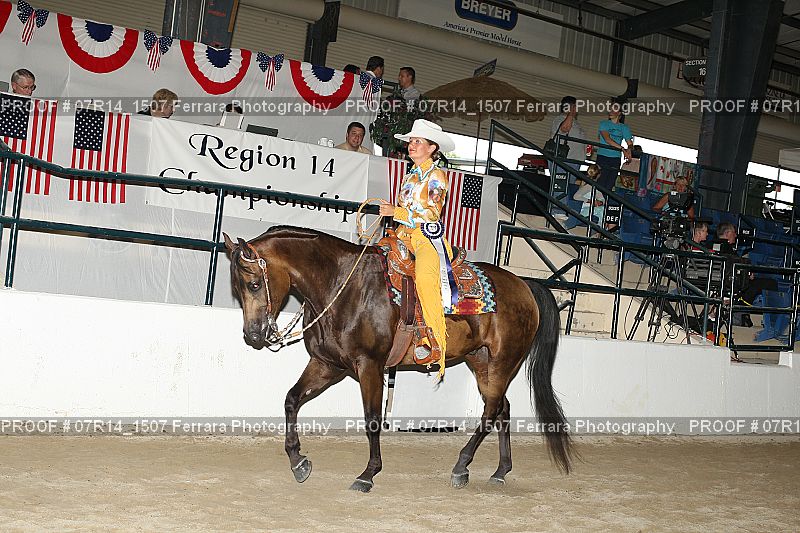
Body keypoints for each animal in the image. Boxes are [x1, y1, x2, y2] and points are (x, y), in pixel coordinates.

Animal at [222, 226, 573, 492]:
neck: (343, 286)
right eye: (236, 289)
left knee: (491, 411)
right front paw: (298, 462)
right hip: (481, 361)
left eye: (254, 283)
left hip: (502, 362)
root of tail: (524, 284)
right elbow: (292, 400)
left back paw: (461, 466)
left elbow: (372, 420)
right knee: (502, 408)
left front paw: (368, 474)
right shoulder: (327, 365)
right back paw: (500, 471)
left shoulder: (370, 366)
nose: (253, 335)